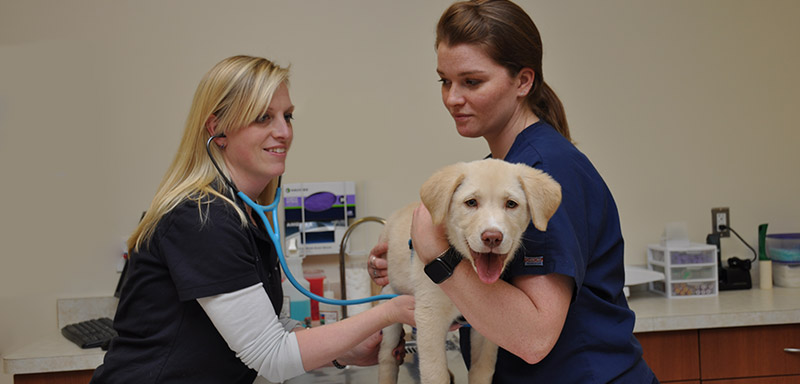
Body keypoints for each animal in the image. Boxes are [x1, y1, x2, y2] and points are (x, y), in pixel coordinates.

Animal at [378, 158, 560, 384]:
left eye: (511, 204)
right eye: (471, 202)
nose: (492, 237)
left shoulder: (486, 326)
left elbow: (482, 370)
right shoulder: (429, 316)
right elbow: (435, 374)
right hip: (389, 298)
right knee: (386, 357)